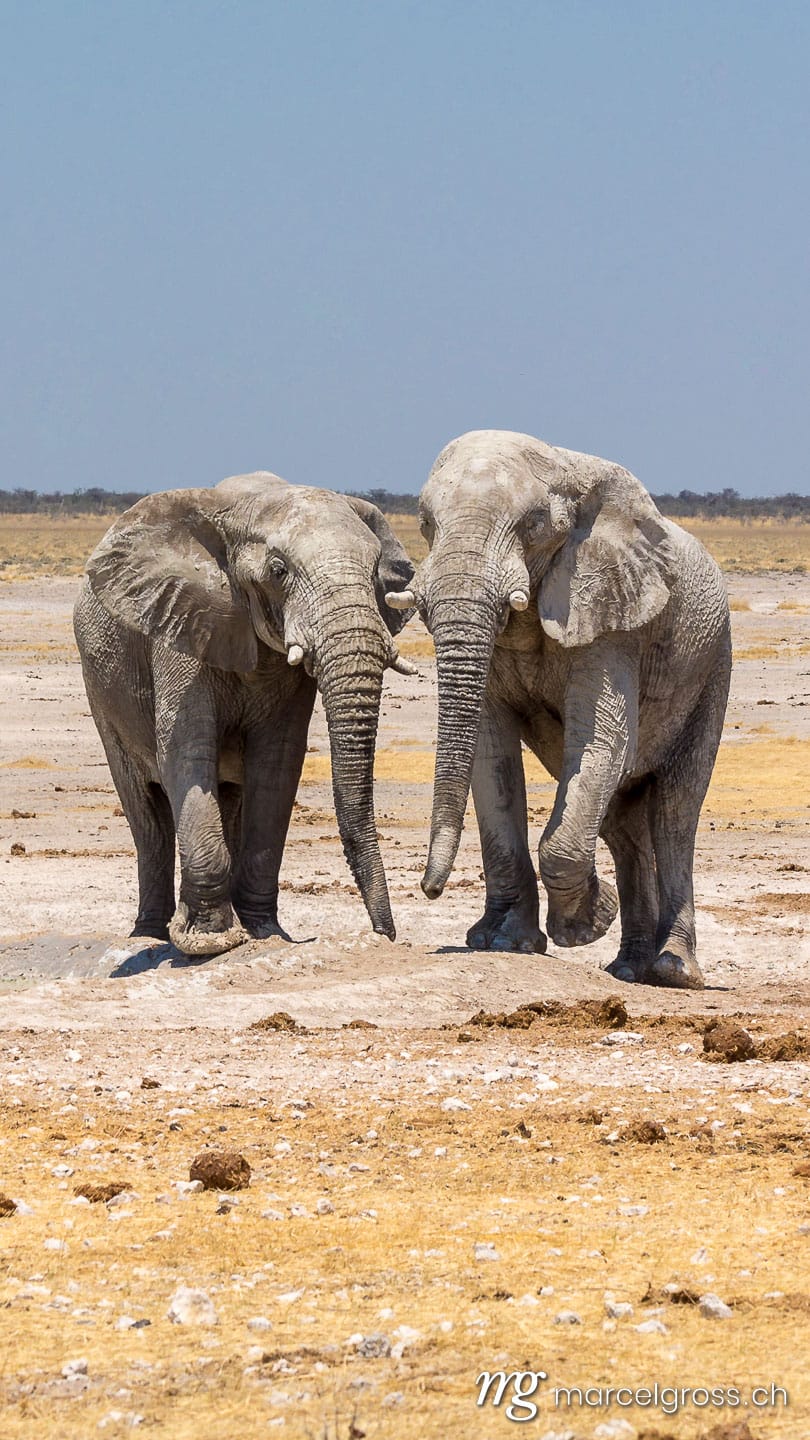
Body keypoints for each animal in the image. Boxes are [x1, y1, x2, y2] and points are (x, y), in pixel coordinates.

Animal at [74, 472, 415, 956]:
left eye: (374, 572)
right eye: (278, 571)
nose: (384, 934)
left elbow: (276, 767)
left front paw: (264, 934)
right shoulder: (182, 624)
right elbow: (185, 754)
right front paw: (210, 942)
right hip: (100, 690)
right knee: (147, 813)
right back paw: (150, 934)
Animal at [386, 430, 731, 990]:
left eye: (532, 525)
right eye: (424, 523)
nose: (427, 889)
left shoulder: (611, 620)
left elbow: (601, 742)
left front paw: (583, 925)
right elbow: (491, 754)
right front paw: (502, 942)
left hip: (712, 668)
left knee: (675, 811)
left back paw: (673, 970)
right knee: (623, 823)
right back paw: (628, 968)